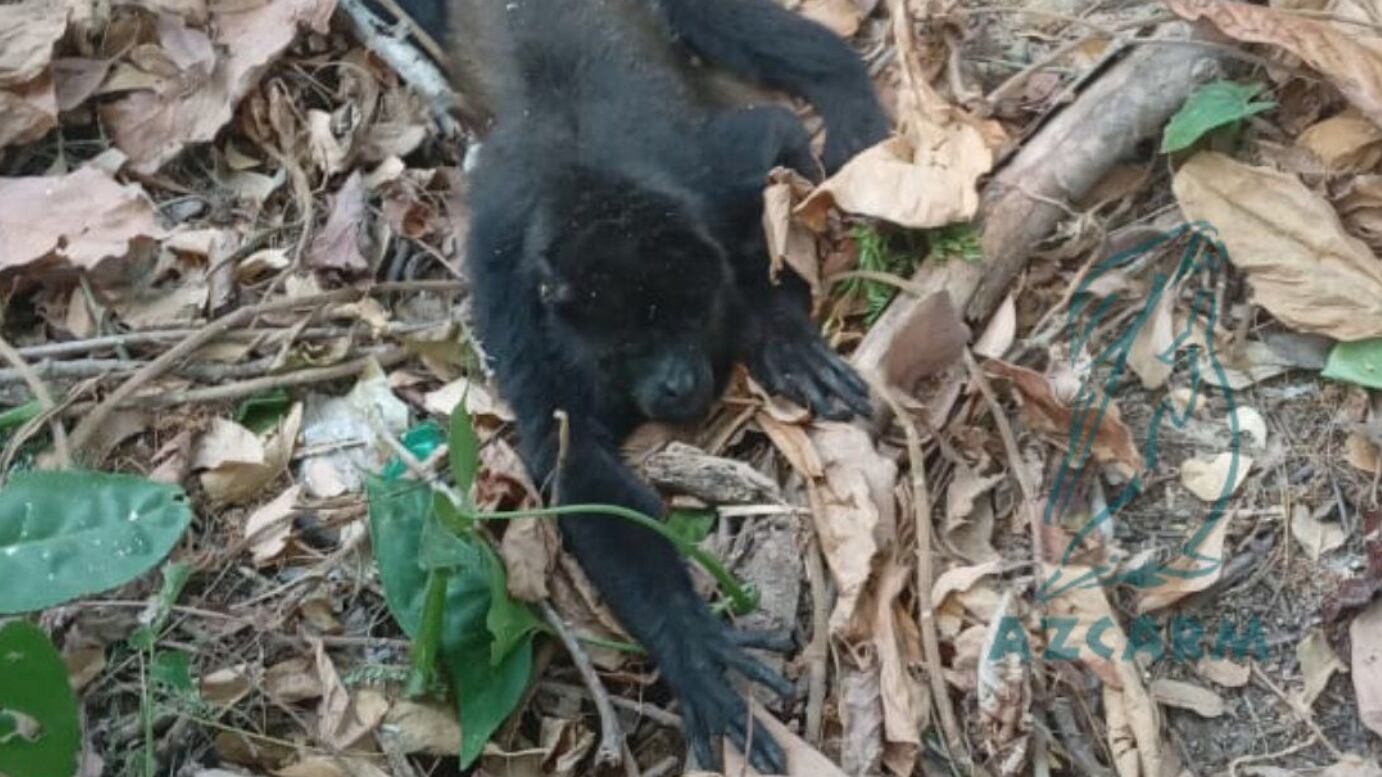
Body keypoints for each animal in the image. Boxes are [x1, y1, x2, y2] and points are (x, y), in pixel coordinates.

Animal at [388, 0, 889, 770]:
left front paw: (776, 332)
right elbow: (569, 456)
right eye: (625, 348)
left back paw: (849, 99)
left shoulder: (711, 175)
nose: (678, 383)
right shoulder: (508, 283)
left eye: (692, 317)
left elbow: (775, 152)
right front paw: (688, 642)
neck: (588, 178)